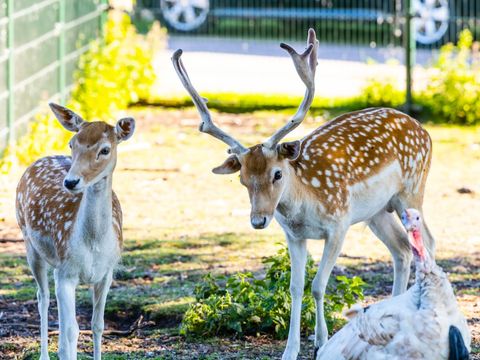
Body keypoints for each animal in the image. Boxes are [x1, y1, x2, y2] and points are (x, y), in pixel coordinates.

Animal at [15, 102, 135, 358]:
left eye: (105, 150)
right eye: (72, 143)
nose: (71, 182)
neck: (93, 243)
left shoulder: (106, 273)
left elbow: (97, 326)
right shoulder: (66, 272)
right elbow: (71, 332)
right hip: (29, 242)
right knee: (42, 297)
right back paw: (44, 354)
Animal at [172, 28, 436, 360]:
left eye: (277, 173)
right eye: (243, 179)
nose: (258, 220)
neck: (305, 206)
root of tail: (424, 131)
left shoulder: (338, 225)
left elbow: (319, 285)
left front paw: (321, 343)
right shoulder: (293, 235)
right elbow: (295, 287)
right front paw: (291, 350)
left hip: (412, 190)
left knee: (428, 241)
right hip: (376, 212)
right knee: (401, 249)